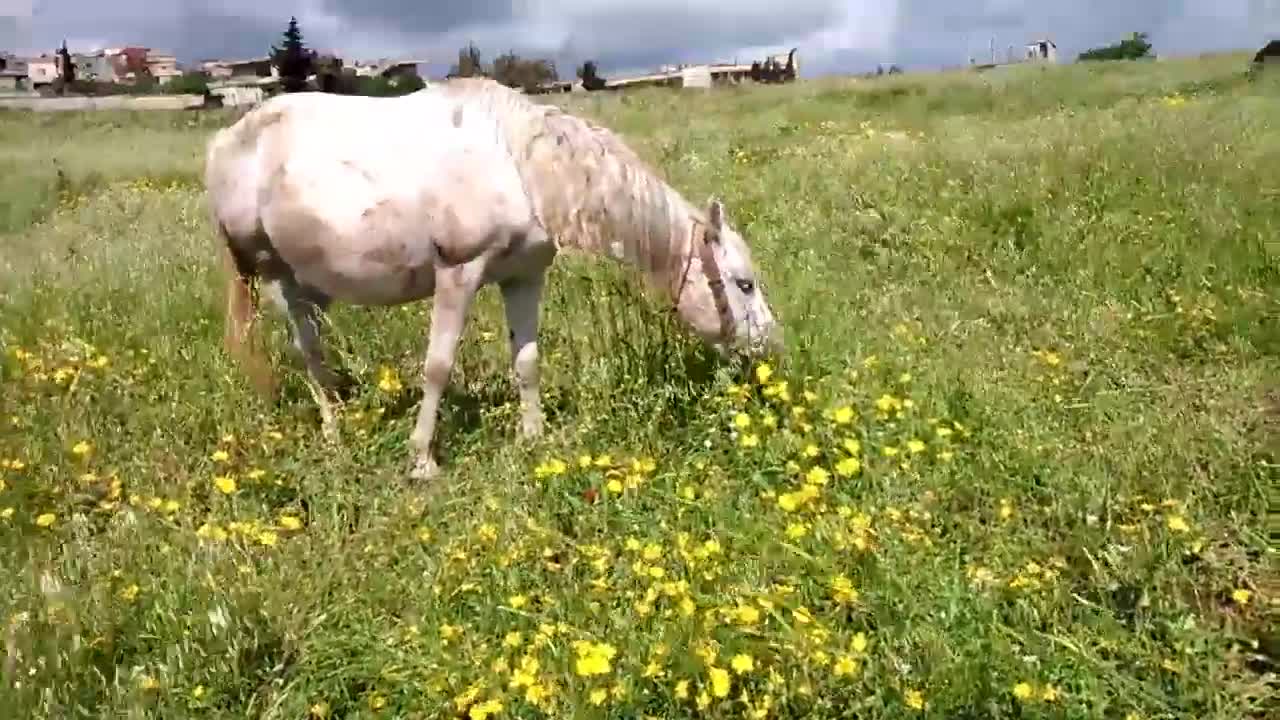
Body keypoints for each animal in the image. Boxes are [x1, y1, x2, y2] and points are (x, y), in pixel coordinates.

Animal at [202, 77, 778, 476]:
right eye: (743, 284)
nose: (771, 349)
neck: (521, 166)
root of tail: (225, 142)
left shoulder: (523, 277)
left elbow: (527, 362)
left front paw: (534, 438)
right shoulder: (458, 273)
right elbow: (437, 367)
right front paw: (422, 461)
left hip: (312, 280)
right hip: (276, 275)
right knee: (307, 350)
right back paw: (334, 433)